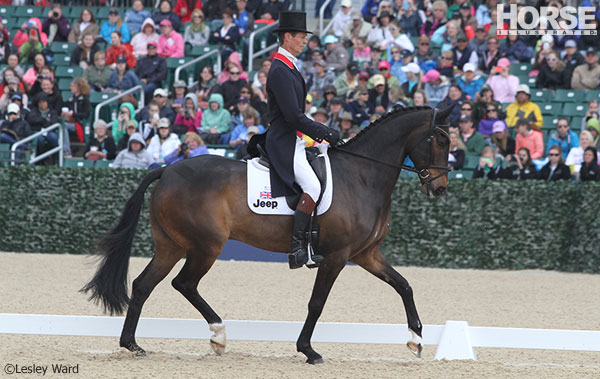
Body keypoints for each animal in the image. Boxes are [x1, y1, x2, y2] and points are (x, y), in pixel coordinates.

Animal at [82, 104, 452, 366]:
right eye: (440, 139)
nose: (440, 188)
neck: (362, 175)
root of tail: (167, 169)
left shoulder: (365, 254)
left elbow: (404, 285)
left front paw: (416, 339)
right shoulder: (337, 256)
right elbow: (317, 303)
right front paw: (308, 350)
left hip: (171, 245)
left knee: (144, 284)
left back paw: (132, 344)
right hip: (206, 246)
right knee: (183, 283)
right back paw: (218, 335)